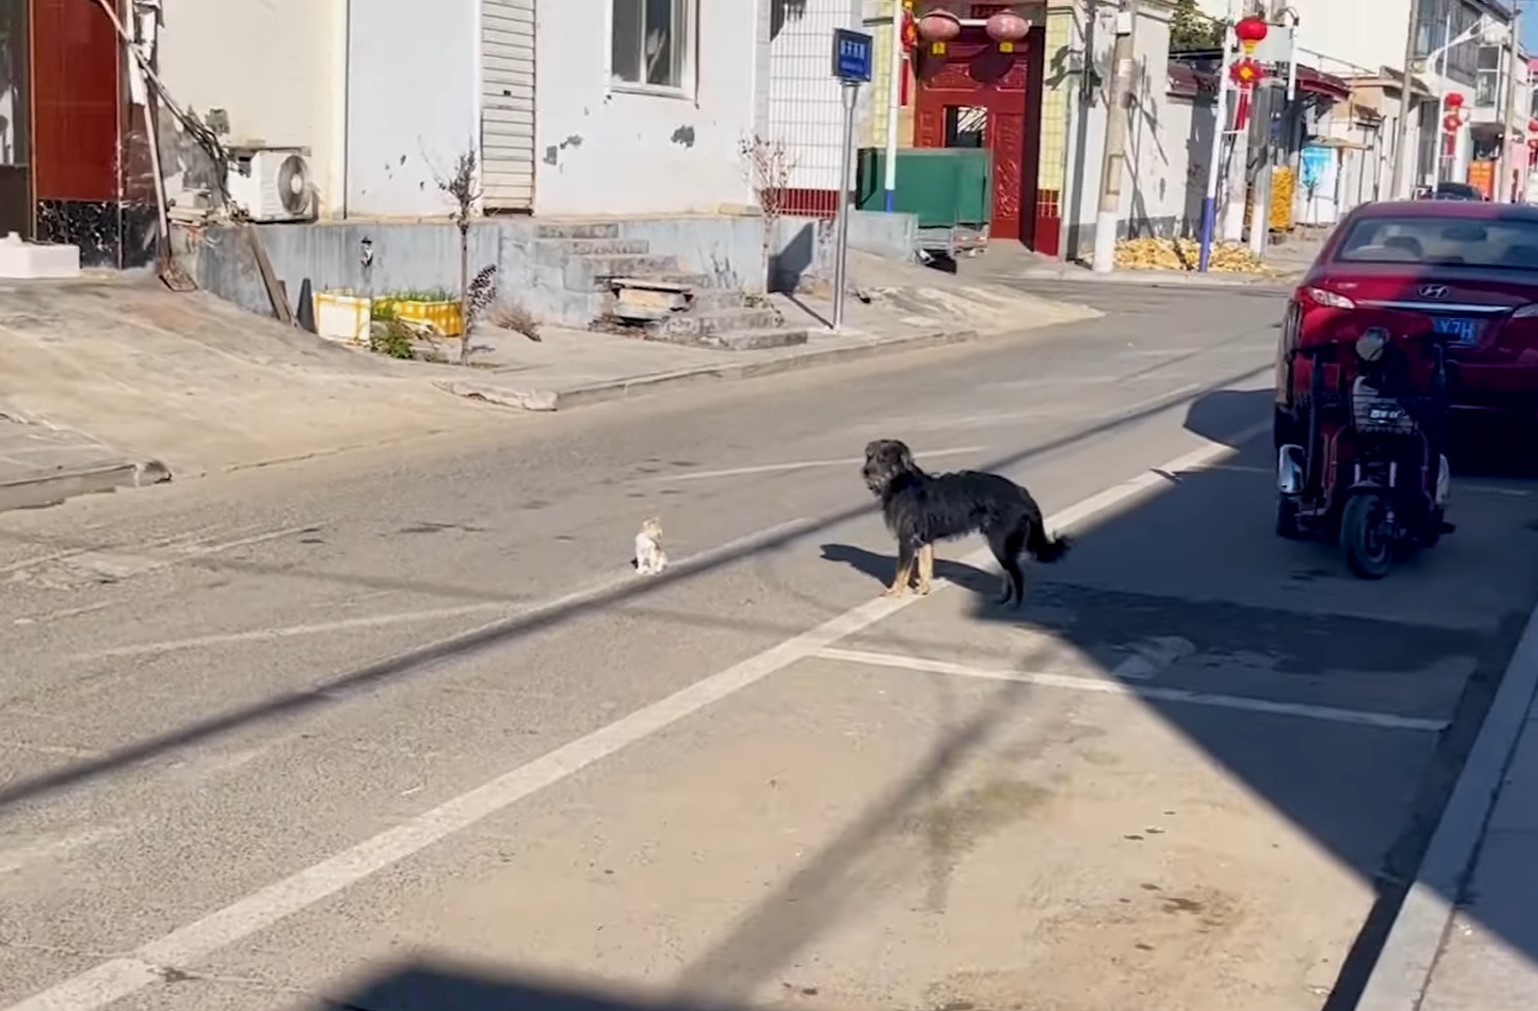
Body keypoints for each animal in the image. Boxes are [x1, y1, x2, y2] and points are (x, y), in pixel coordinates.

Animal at [867, 437, 1070, 606]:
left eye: (884, 459)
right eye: (870, 456)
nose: (865, 471)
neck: (900, 482)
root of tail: (1022, 493)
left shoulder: (906, 540)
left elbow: (900, 572)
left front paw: (894, 593)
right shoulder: (924, 540)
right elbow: (925, 568)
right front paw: (923, 589)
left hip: (999, 541)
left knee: (1016, 574)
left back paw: (1014, 604)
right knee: (1008, 573)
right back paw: (1003, 598)